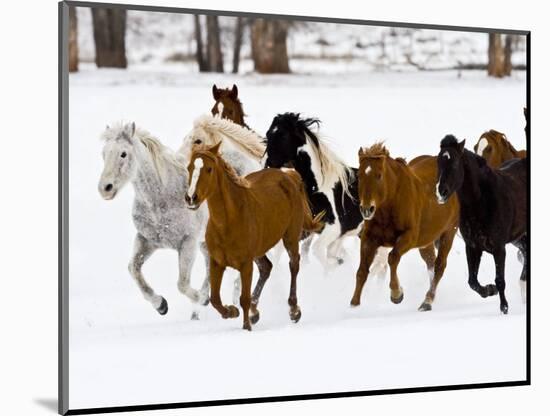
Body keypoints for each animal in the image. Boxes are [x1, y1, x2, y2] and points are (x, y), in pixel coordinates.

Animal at [98, 122, 212, 320]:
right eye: (104, 153)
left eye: (123, 153)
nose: (105, 188)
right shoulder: (146, 241)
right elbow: (133, 269)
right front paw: (161, 305)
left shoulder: (188, 242)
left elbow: (182, 284)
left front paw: (202, 299)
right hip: (205, 242)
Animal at [187, 141, 324, 330]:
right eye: (189, 167)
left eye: (209, 169)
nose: (191, 198)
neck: (228, 222)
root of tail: (289, 175)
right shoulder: (217, 262)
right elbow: (215, 299)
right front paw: (232, 312)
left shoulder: (245, 264)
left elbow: (243, 298)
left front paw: (246, 326)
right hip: (260, 250)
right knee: (266, 268)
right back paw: (255, 312)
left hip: (290, 236)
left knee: (294, 265)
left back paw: (294, 310)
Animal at [266, 112, 390, 272]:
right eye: (268, 134)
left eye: (283, 136)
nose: (268, 164)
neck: (317, 188)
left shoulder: (333, 230)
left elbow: (319, 252)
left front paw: (335, 266)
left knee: (381, 265)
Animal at [354, 145, 462, 310]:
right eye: (359, 175)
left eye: (379, 175)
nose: (366, 209)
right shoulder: (369, 238)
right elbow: (362, 271)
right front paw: (353, 305)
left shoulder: (409, 237)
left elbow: (393, 258)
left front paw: (397, 294)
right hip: (426, 241)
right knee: (430, 262)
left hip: (448, 233)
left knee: (439, 266)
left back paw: (427, 301)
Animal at [436, 135, 532, 314]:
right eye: (438, 163)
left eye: (454, 163)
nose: (441, 192)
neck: (481, 202)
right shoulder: (473, 247)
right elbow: (472, 281)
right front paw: (489, 289)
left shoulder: (499, 248)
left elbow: (500, 280)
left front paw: (504, 308)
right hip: (518, 237)